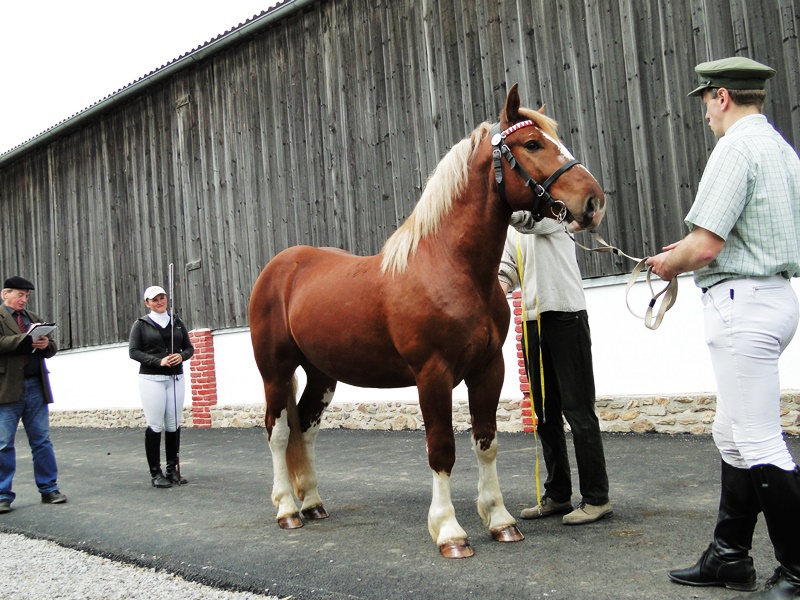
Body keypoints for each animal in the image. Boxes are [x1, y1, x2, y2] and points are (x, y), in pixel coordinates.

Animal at [249, 84, 606, 558]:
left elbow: (486, 442)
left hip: (322, 373)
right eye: (532, 144)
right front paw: (450, 532)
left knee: (305, 429)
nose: (594, 201)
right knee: (277, 431)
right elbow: (442, 449)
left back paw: (312, 503)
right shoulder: (432, 374)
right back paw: (287, 509)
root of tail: (279, 267)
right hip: (276, 370)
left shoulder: (488, 370)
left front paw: (500, 520)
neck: (450, 266)